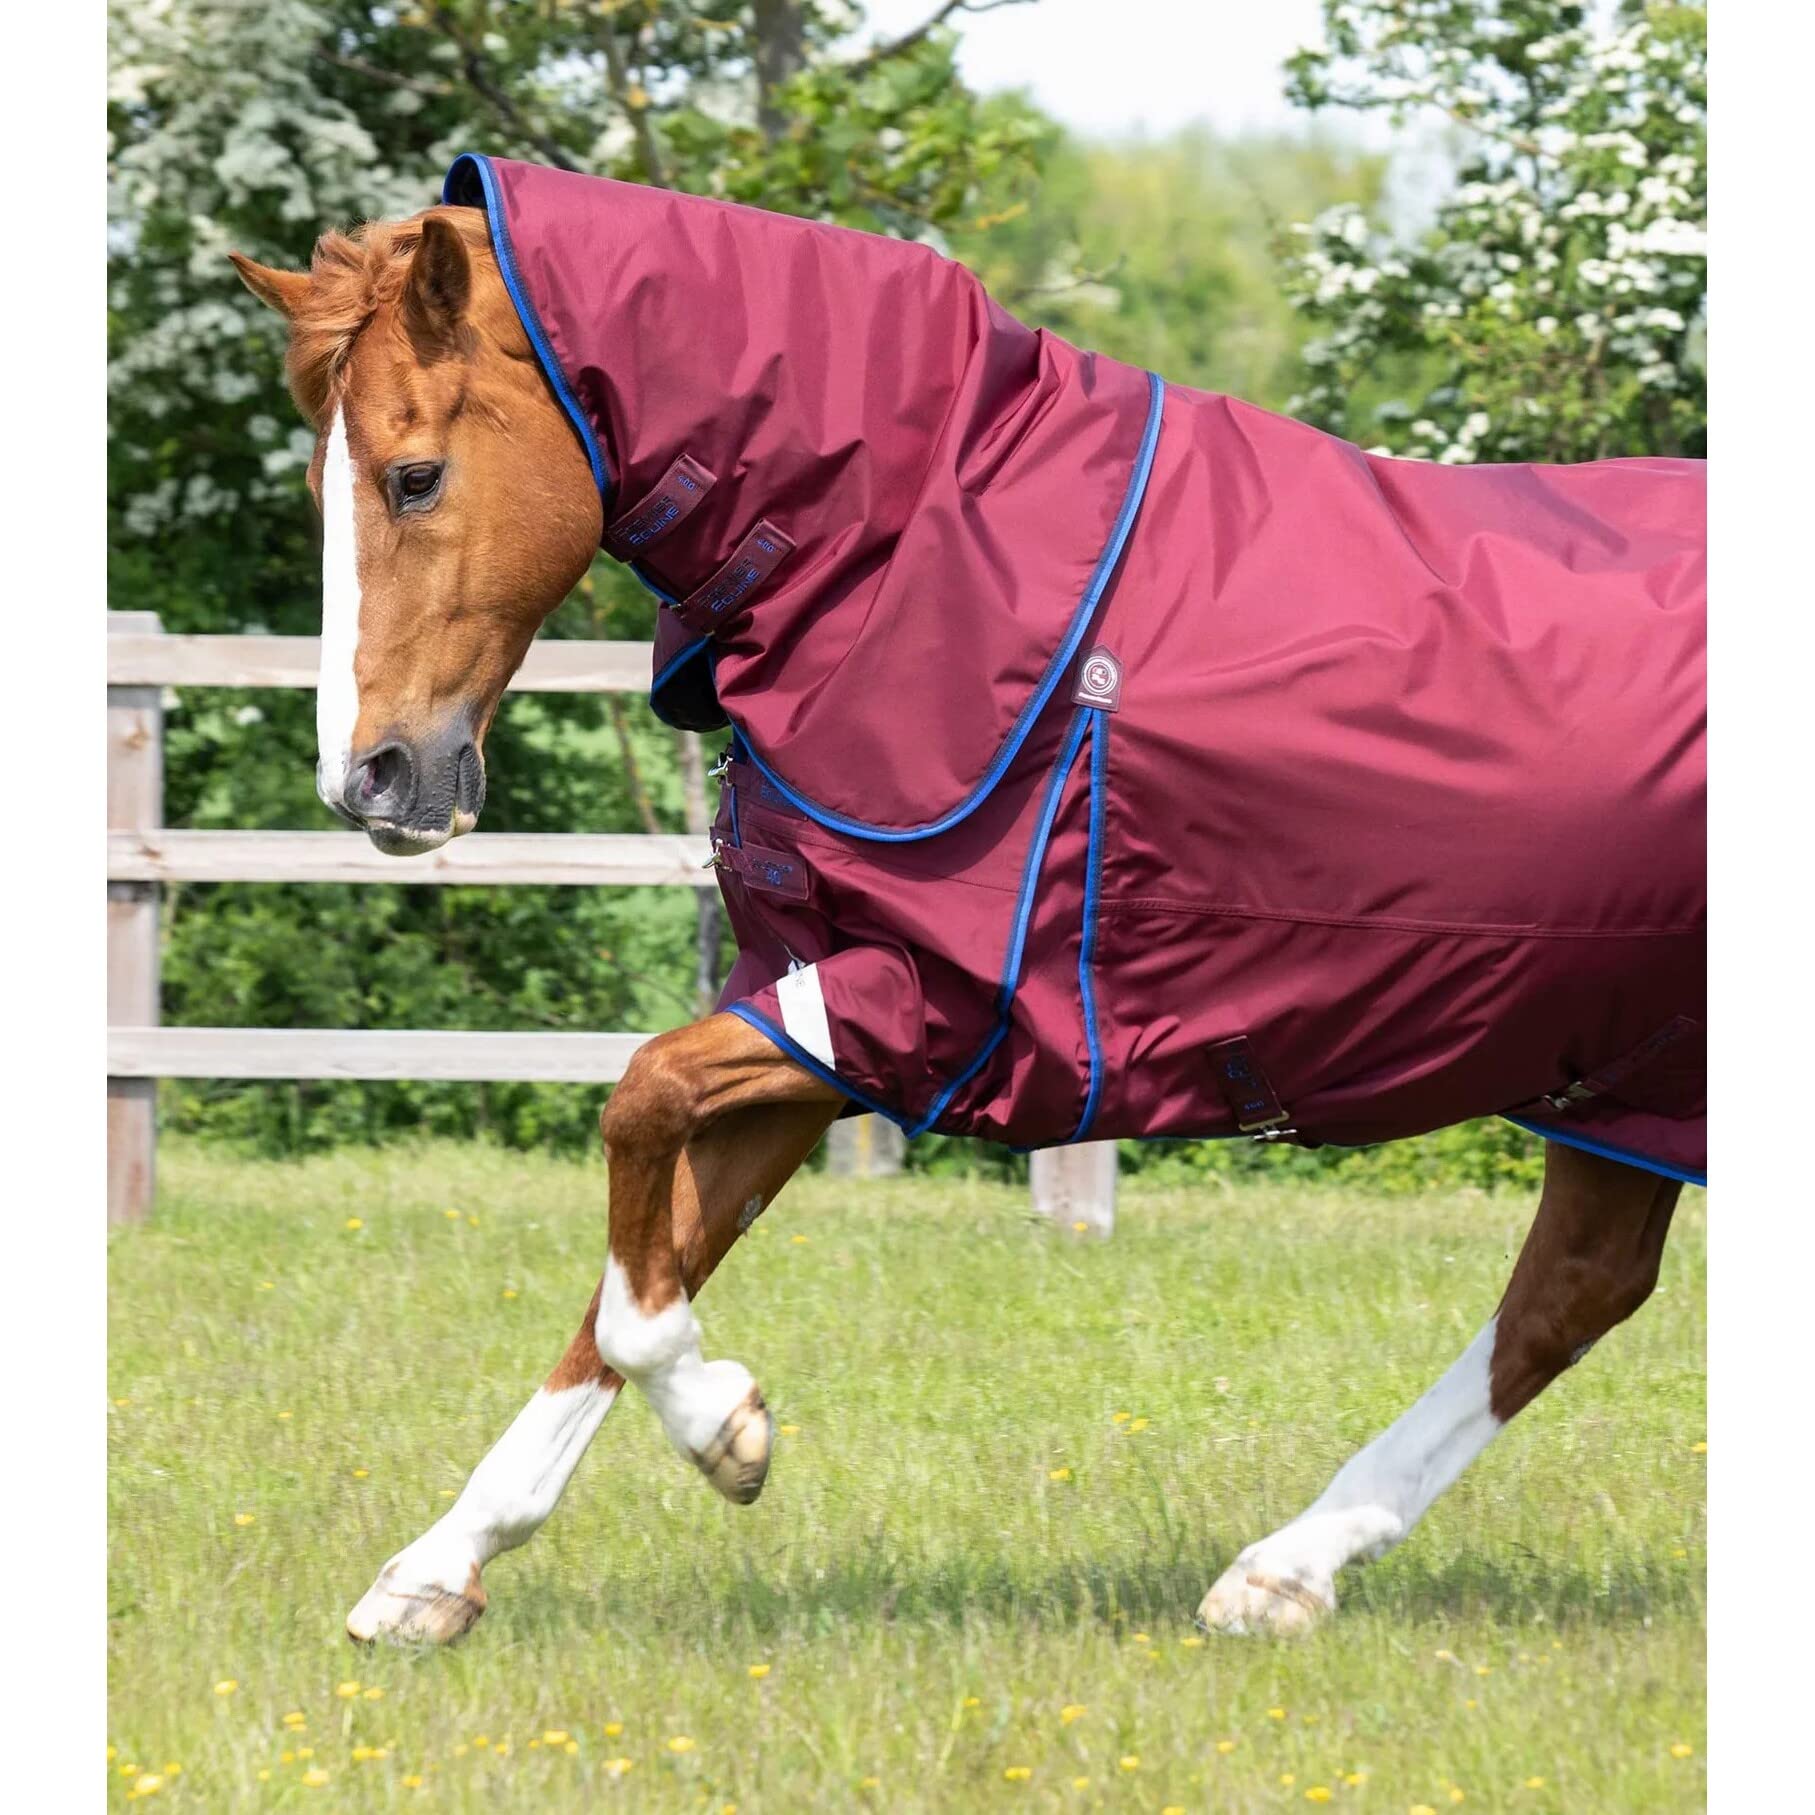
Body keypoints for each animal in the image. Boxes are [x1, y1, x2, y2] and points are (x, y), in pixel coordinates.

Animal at [229, 159, 1703, 1646]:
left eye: (414, 476)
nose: (368, 777)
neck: (904, 545)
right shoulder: (814, 1009)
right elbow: (638, 1261)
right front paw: (435, 1571)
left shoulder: (930, 1007)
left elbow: (639, 1122)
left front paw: (727, 1430)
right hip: (1624, 1076)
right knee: (1571, 1290)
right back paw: (1284, 1573)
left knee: (1564, 1293)